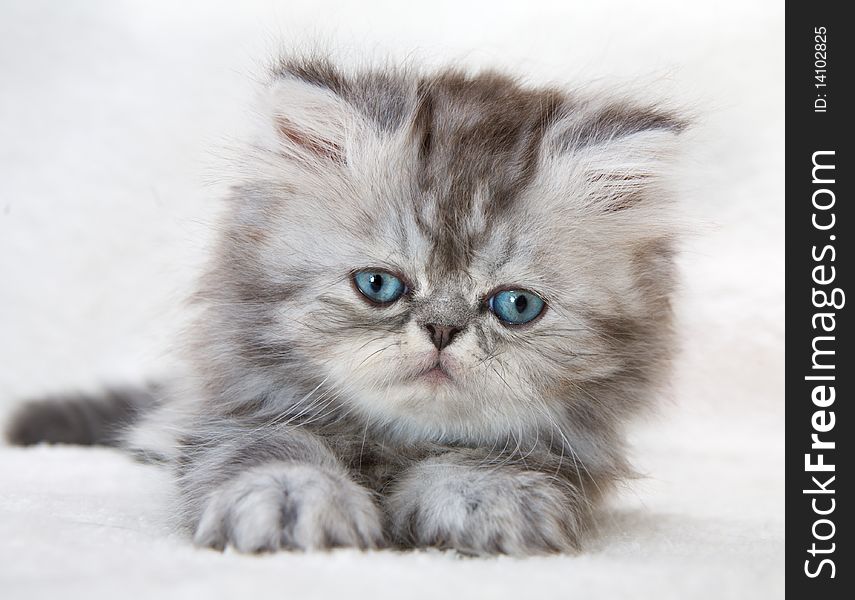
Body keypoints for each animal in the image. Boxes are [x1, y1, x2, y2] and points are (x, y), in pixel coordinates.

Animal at [6, 57, 684, 556]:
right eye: (379, 286)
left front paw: (488, 497)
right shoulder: (236, 412)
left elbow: (490, 456)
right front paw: (294, 499)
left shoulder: (559, 449)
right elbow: (272, 449)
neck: (393, 442)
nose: (442, 330)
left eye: (516, 305)